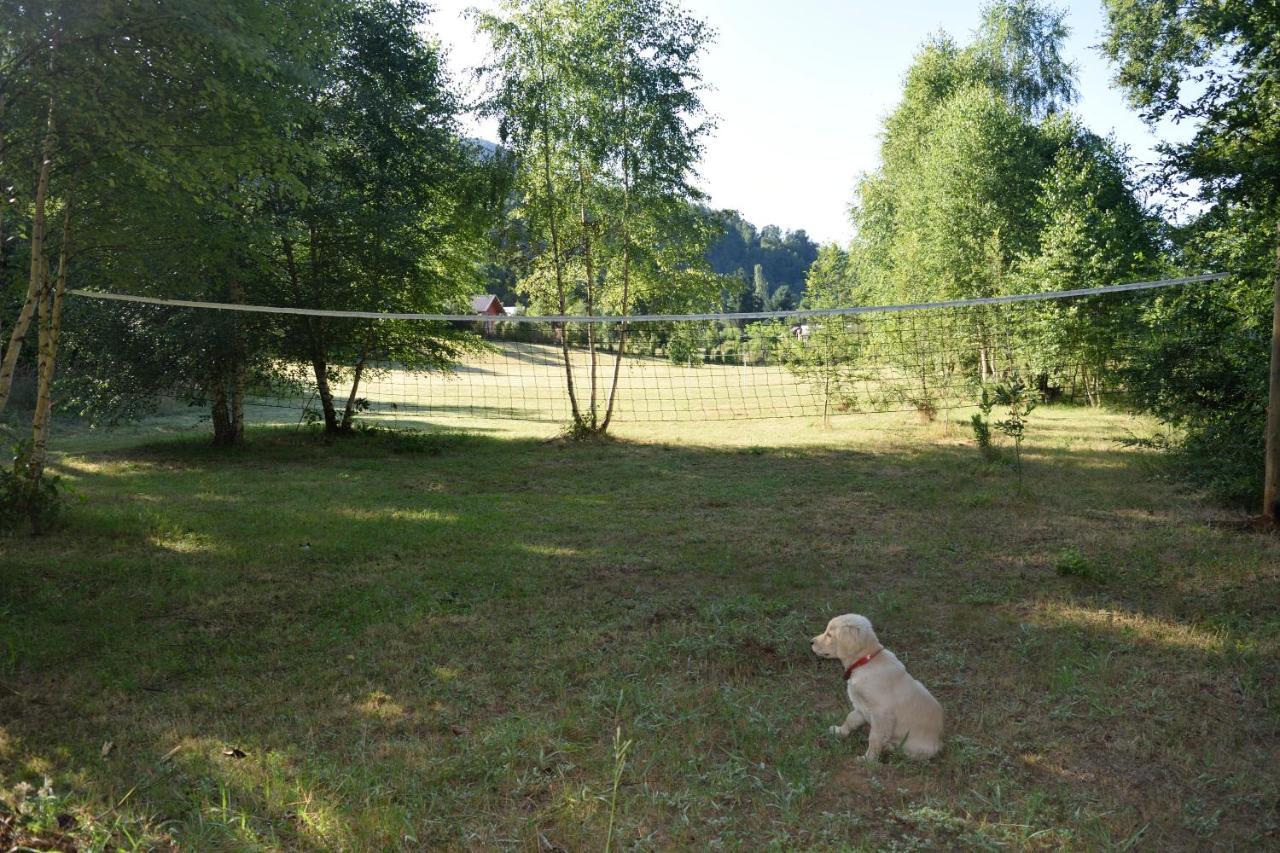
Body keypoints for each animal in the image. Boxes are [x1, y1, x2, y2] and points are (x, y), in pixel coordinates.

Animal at [814, 612, 947, 758]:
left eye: (829, 635)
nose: (811, 641)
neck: (865, 661)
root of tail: (940, 742)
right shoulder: (861, 707)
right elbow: (850, 719)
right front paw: (839, 731)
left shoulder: (882, 714)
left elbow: (875, 738)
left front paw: (868, 759)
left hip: (914, 746)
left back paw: (888, 747)